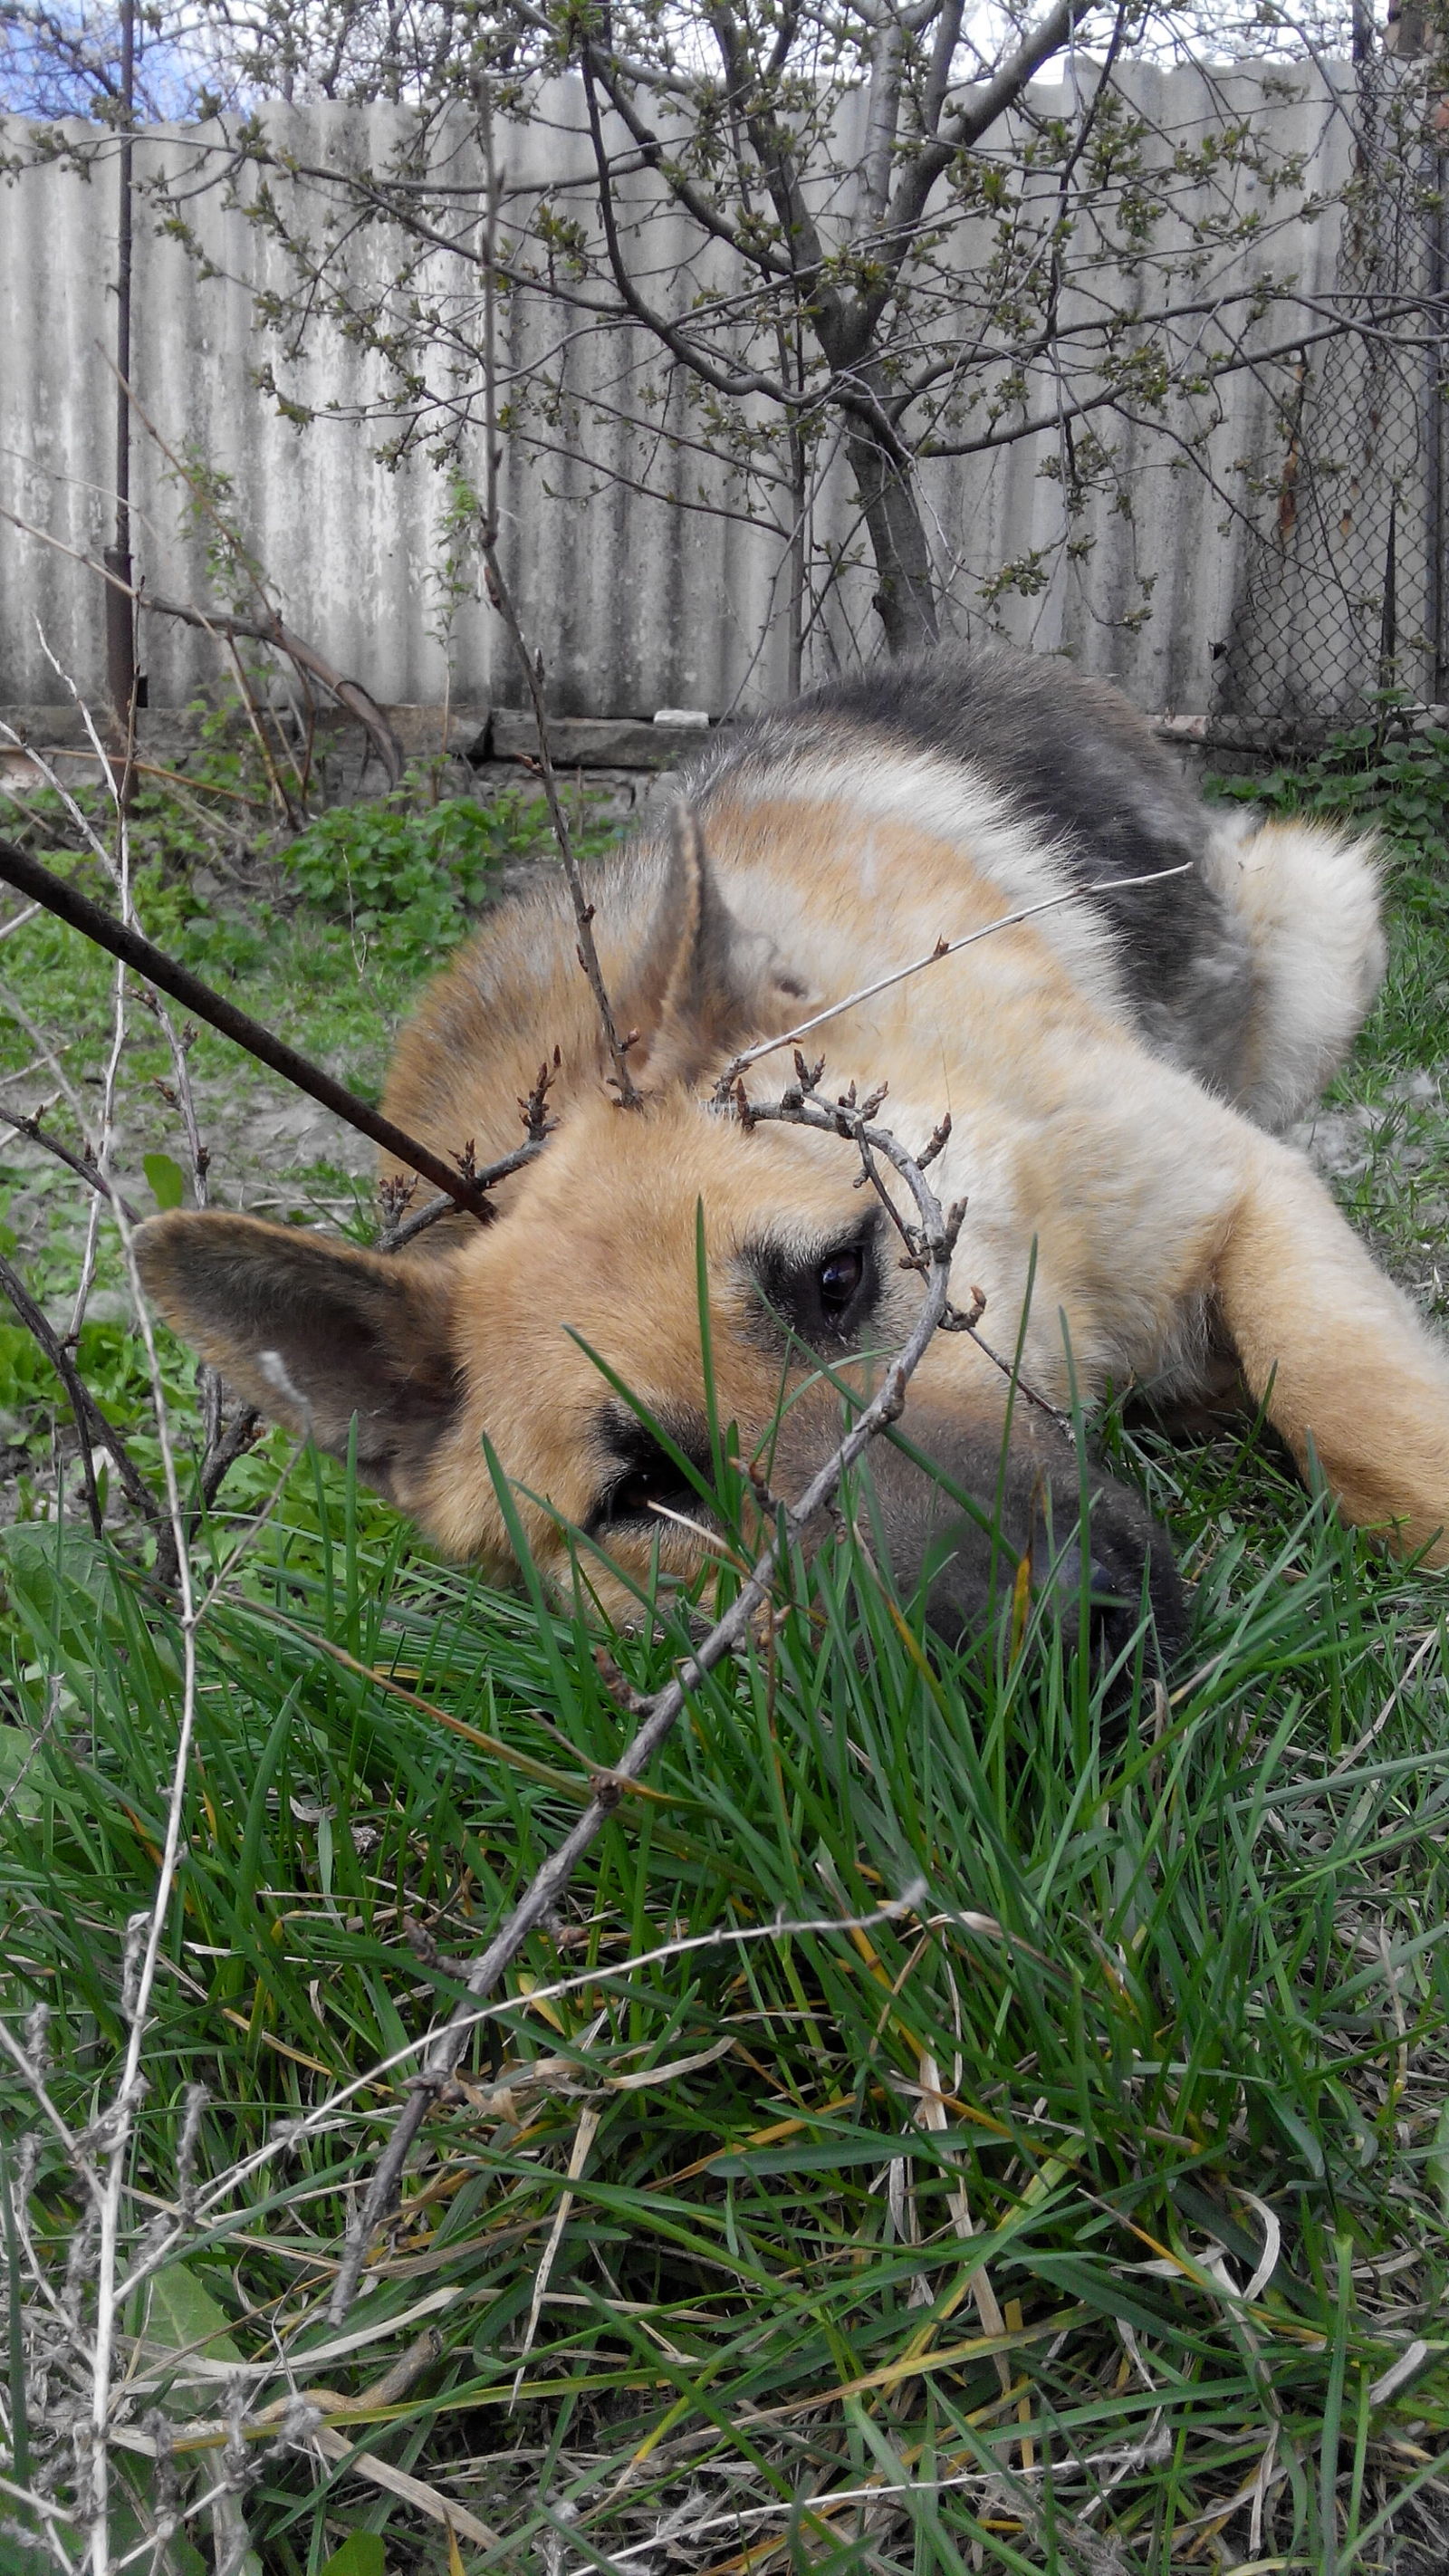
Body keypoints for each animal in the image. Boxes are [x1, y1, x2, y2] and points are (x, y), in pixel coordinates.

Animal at [136, 644, 1449, 1648]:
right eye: (650, 1496)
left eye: (838, 1280)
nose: (1051, 1640)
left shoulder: (1232, 1185)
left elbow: (1346, 1391)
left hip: (1317, 926)